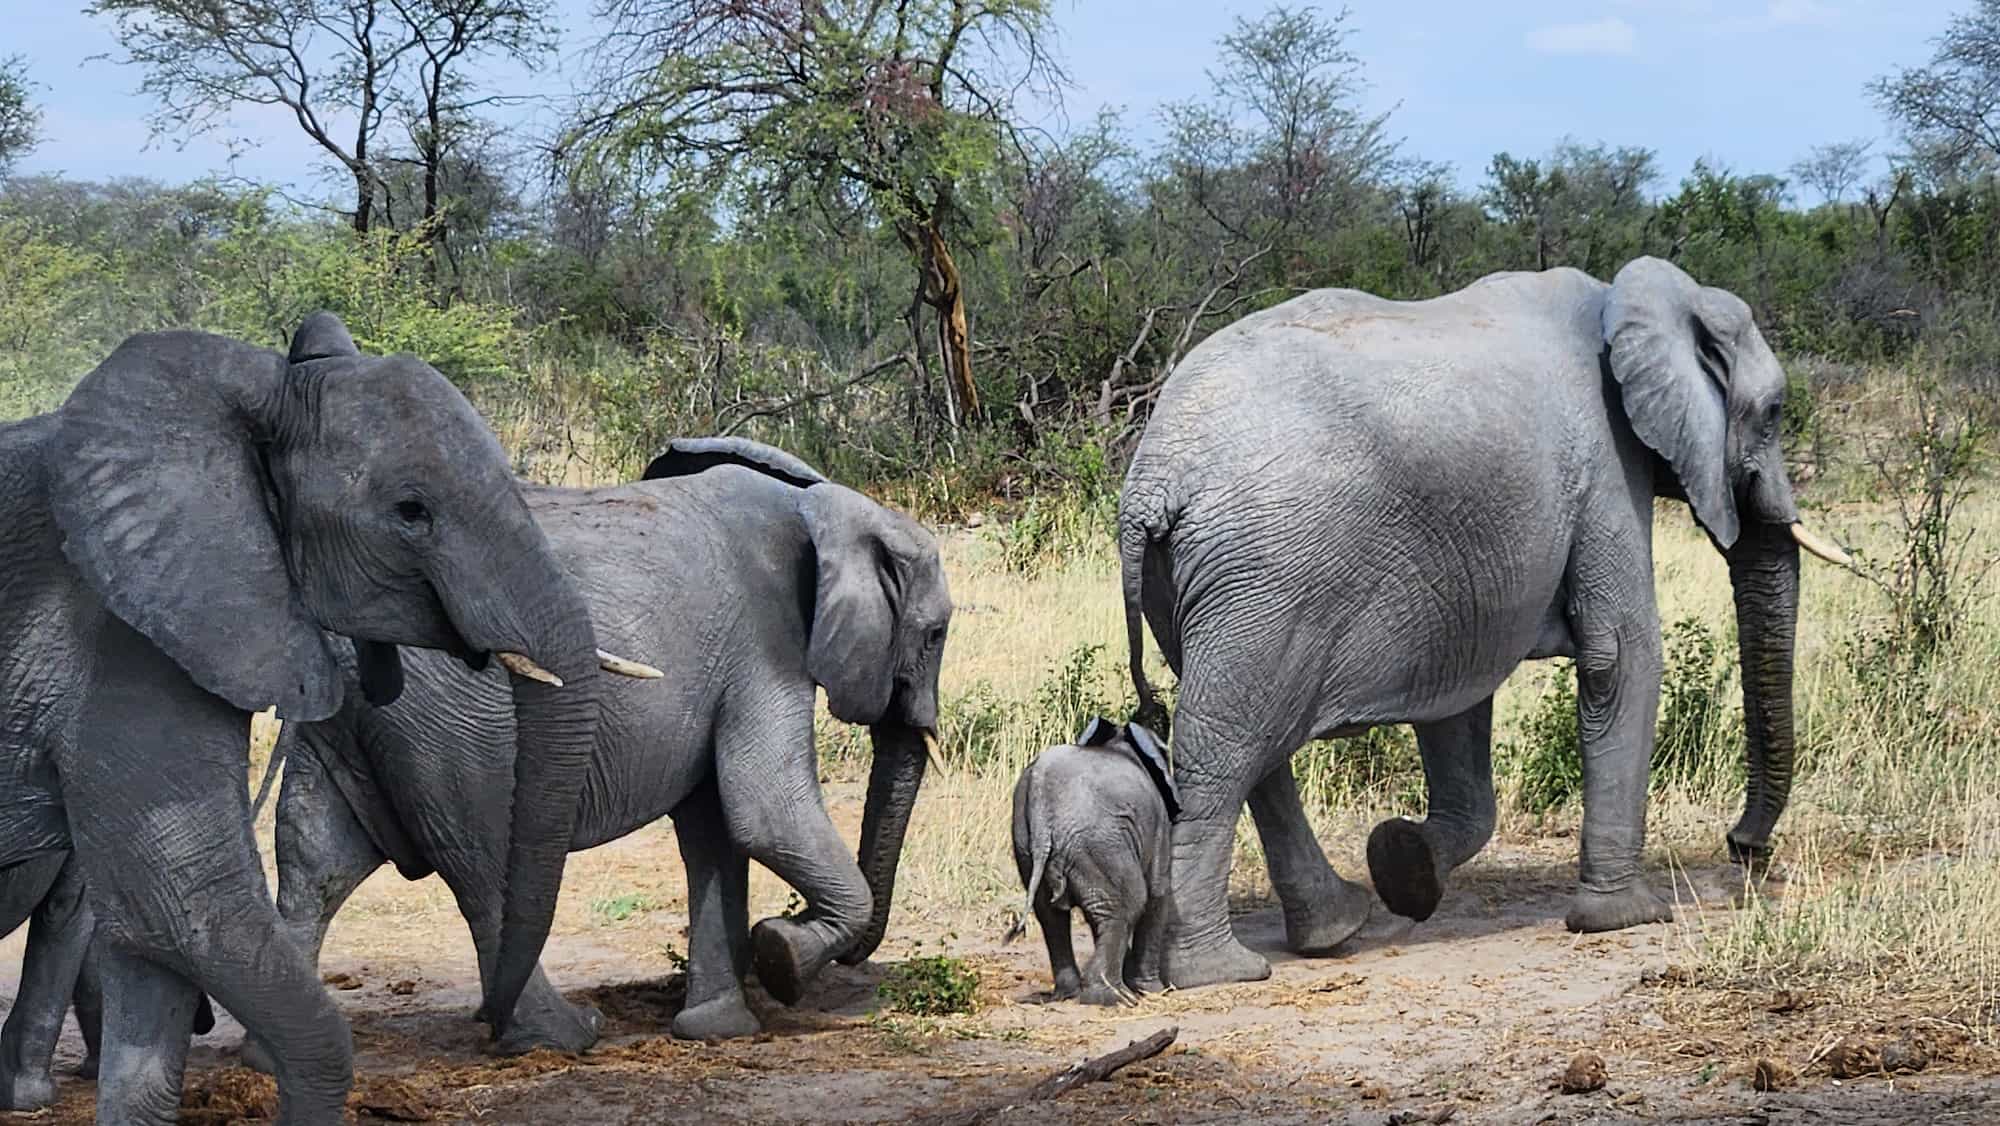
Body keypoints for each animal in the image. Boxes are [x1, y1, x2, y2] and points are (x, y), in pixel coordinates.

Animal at [234, 436, 950, 1055]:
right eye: (937, 633)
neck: (821, 503)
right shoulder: (766, 642)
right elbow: (763, 811)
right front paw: (782, 958)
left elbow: (714, 830)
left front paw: (717, 1027)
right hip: (448, 723)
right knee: (487, 867)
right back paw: (562, 1036)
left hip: (353, 721)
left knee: (315, 864)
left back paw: (276, 1058)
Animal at [1010, 717, 1176, 1006]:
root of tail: (1041, 797)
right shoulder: (1158, 826)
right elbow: (1158, 892)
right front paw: (1155, 991)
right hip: (1096, 841)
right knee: (1129, 902)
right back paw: (1112, 997)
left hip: (1028, 843)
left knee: (1050, 915)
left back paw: (1071, 993)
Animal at [1117, 257, 1850, 990]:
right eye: (1774, 413)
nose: (1745, 848)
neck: (1628, 301)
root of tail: (1153, 480)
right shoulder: (1607, 464)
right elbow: (1621, 654)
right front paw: (1626, 918)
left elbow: (1456, 691)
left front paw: (1406, 865)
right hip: (1268, 573)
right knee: (1225, 749)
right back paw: (1217, 972)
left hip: (1204, 584)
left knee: (1253, 750)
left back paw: (1333, 930)